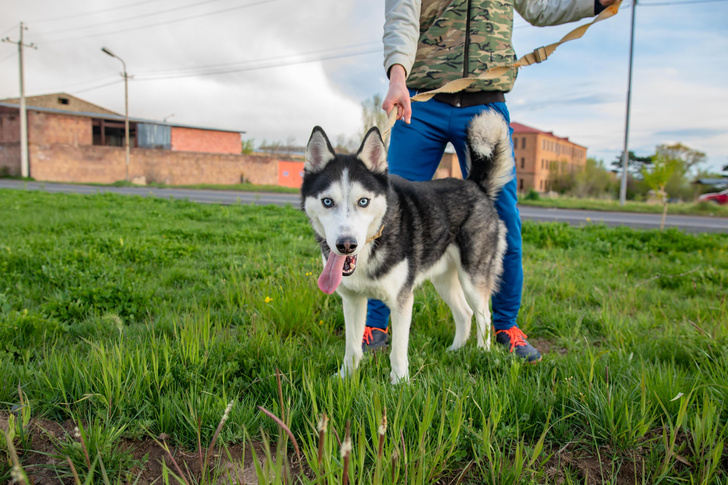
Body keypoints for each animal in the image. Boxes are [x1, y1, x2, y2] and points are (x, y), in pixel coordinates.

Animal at [302, 110, 512, 382]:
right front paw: (345, 377)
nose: (346, 245)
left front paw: (399, 384)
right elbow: (352, 348)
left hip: (473, 278)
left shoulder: (402, 301)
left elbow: (398, 351)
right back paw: (454, 351)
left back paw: (482, 353)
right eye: (327, 201)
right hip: (443, 279)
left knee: (484, 316)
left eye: (363, 201)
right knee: (464, 313)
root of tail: (475, 185)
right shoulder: (352, 299)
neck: (373, 245)